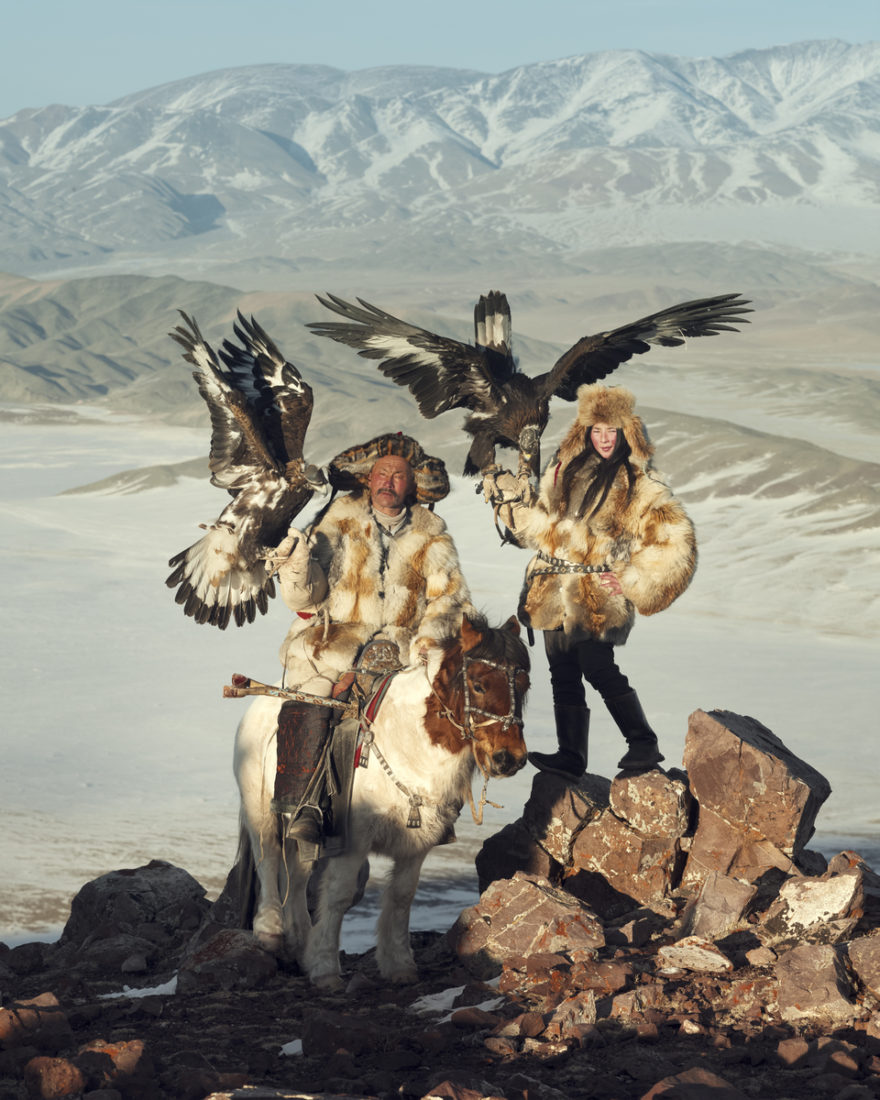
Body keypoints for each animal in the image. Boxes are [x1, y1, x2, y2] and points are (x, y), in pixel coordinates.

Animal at [229, 611, 530, 990]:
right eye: (478, 684)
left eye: (525, 683)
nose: (509, 759)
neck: (408, 742)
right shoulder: (353, 839)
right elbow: (339, 895)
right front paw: (325, 969)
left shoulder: (417, 845)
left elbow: (401, 897)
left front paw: (399, 965)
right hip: (259, 810)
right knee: (267, 858)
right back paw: (271, 933)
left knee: (297, 874)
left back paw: (300, 944)